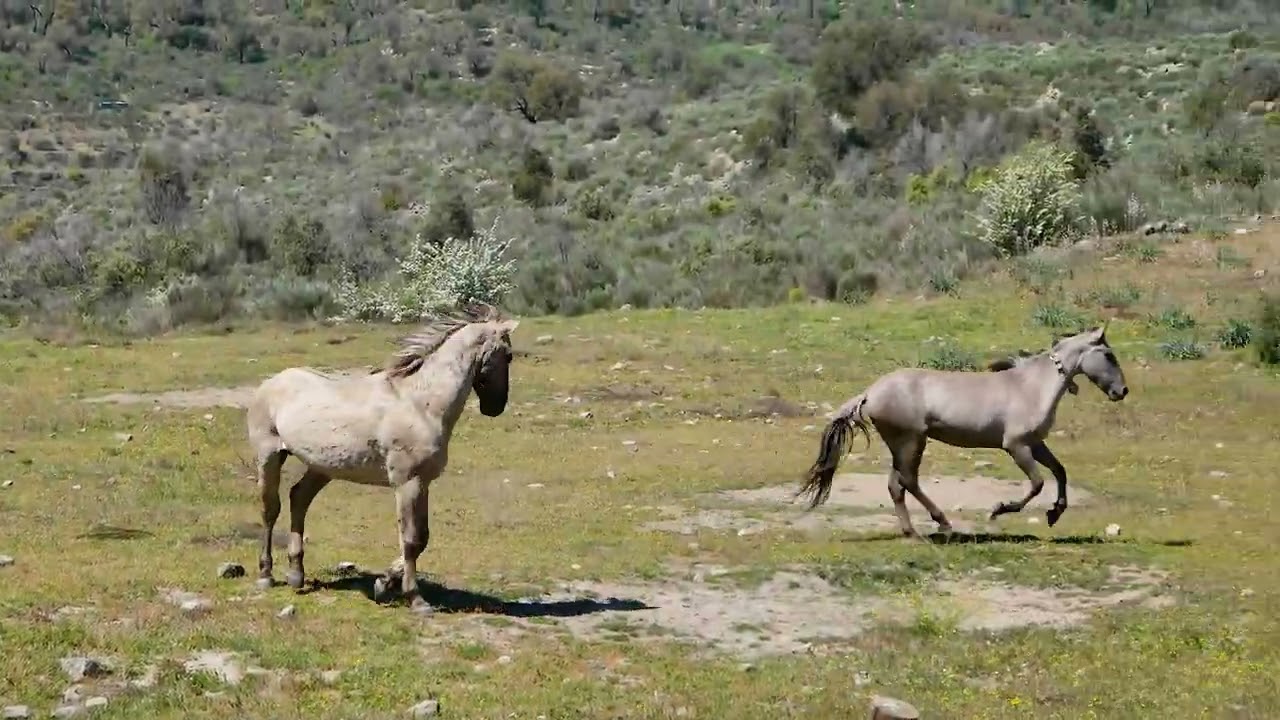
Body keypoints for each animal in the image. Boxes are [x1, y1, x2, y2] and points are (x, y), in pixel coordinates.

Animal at [245, 302, 520, 612]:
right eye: (509, 355)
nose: (495, 407)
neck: (420, 404)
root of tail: (270, 383)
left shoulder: (423, 483)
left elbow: (423, 538)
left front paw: (383, 584)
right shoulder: (407, 483)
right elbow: (411, 539)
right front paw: (416, 599)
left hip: (321, 467)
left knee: (298, 498)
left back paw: (296, 575)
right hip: (269, 456)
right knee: (270, 509)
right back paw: (266, 575)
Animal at [797, 324, 1129, 538]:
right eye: (1109, 355)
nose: (1122, 391)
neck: (1032, 386)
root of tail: (869, 393)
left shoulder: (1035, 444)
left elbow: (1060, 472)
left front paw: (1055, 513)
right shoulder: (1016, 446)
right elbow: (1036, 484)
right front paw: (998, 509)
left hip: (902, 444)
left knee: (896, 485)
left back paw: (912, 532)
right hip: (911, 441)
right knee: (908, 481)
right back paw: (942, 523)